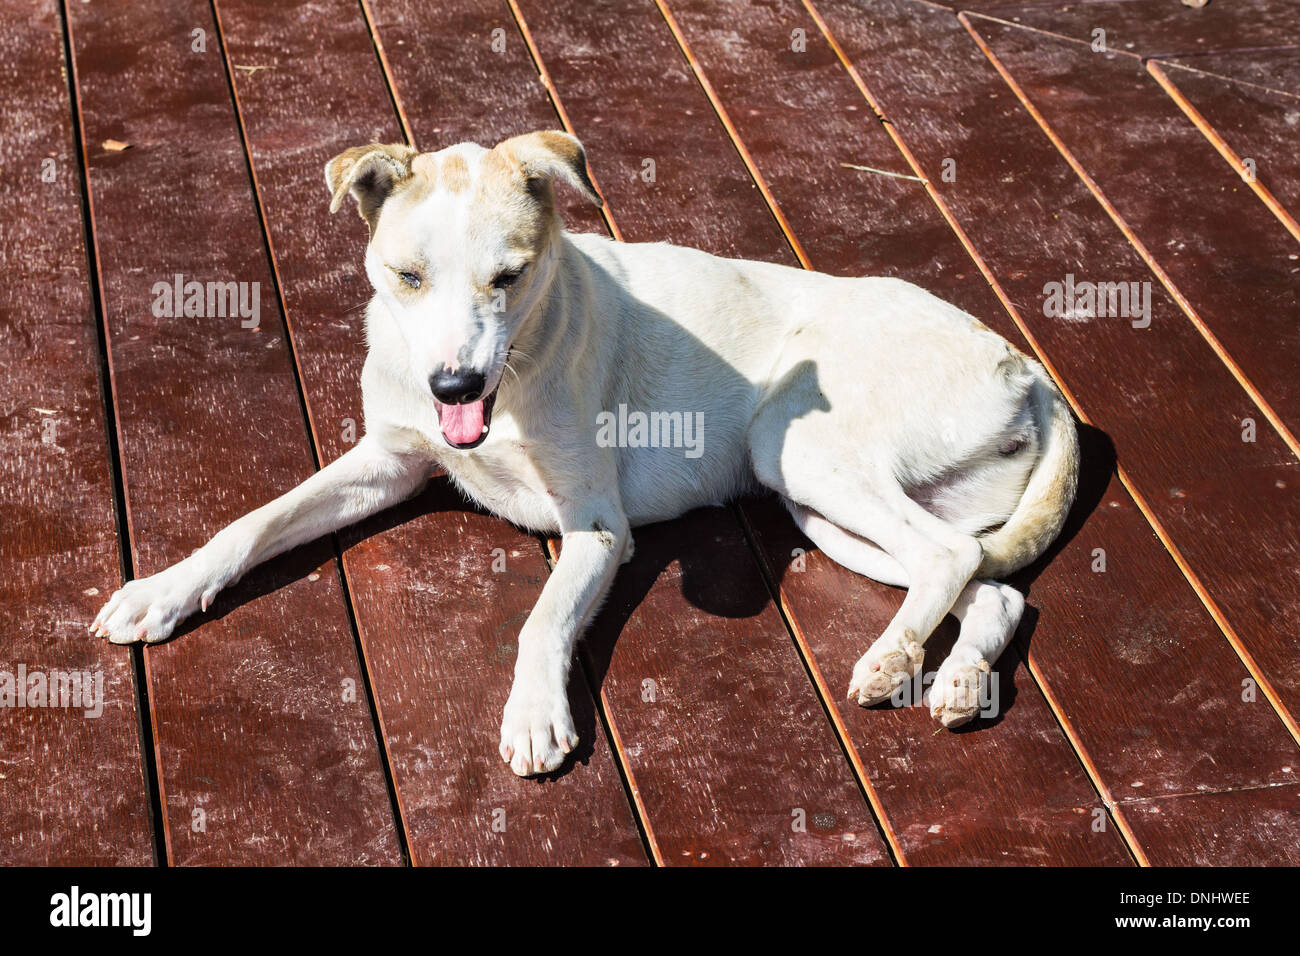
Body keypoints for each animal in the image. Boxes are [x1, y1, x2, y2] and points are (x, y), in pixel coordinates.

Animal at [91, 132, 1076, 780]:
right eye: (408, 278)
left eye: (510, 276)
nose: (453, 384)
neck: (511, 381)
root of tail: (1028, 366)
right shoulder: (386, 463)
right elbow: (252, 523)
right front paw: (161, 591)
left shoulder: (597, 530)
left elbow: (541, 620)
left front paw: (534, 715)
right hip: (824, 509)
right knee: (987, 581)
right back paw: (956, 680)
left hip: (799, 453)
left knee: (949, 559)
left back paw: (891, 663)